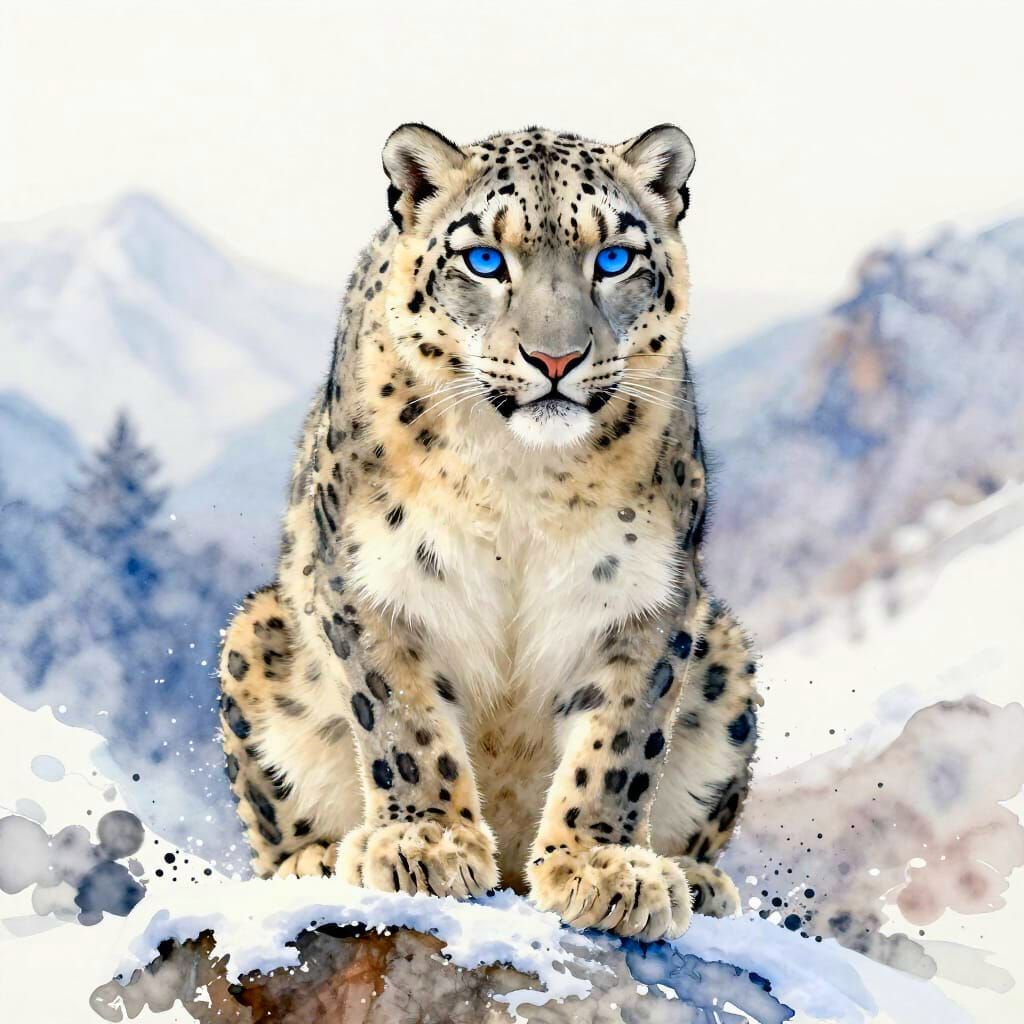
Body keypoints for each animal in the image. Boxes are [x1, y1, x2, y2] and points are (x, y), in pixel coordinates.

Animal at [218, 123, 760, 942]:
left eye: (613, 258)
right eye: (484, 259)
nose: (556, 357)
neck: (520, 478)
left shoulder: (649, 599)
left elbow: (621, 742)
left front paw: (603, 867)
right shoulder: (371, 584)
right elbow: (404, 724)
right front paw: (426, 844)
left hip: (727, 655)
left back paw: (696, 876)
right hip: (256, 632)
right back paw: (313, 859)